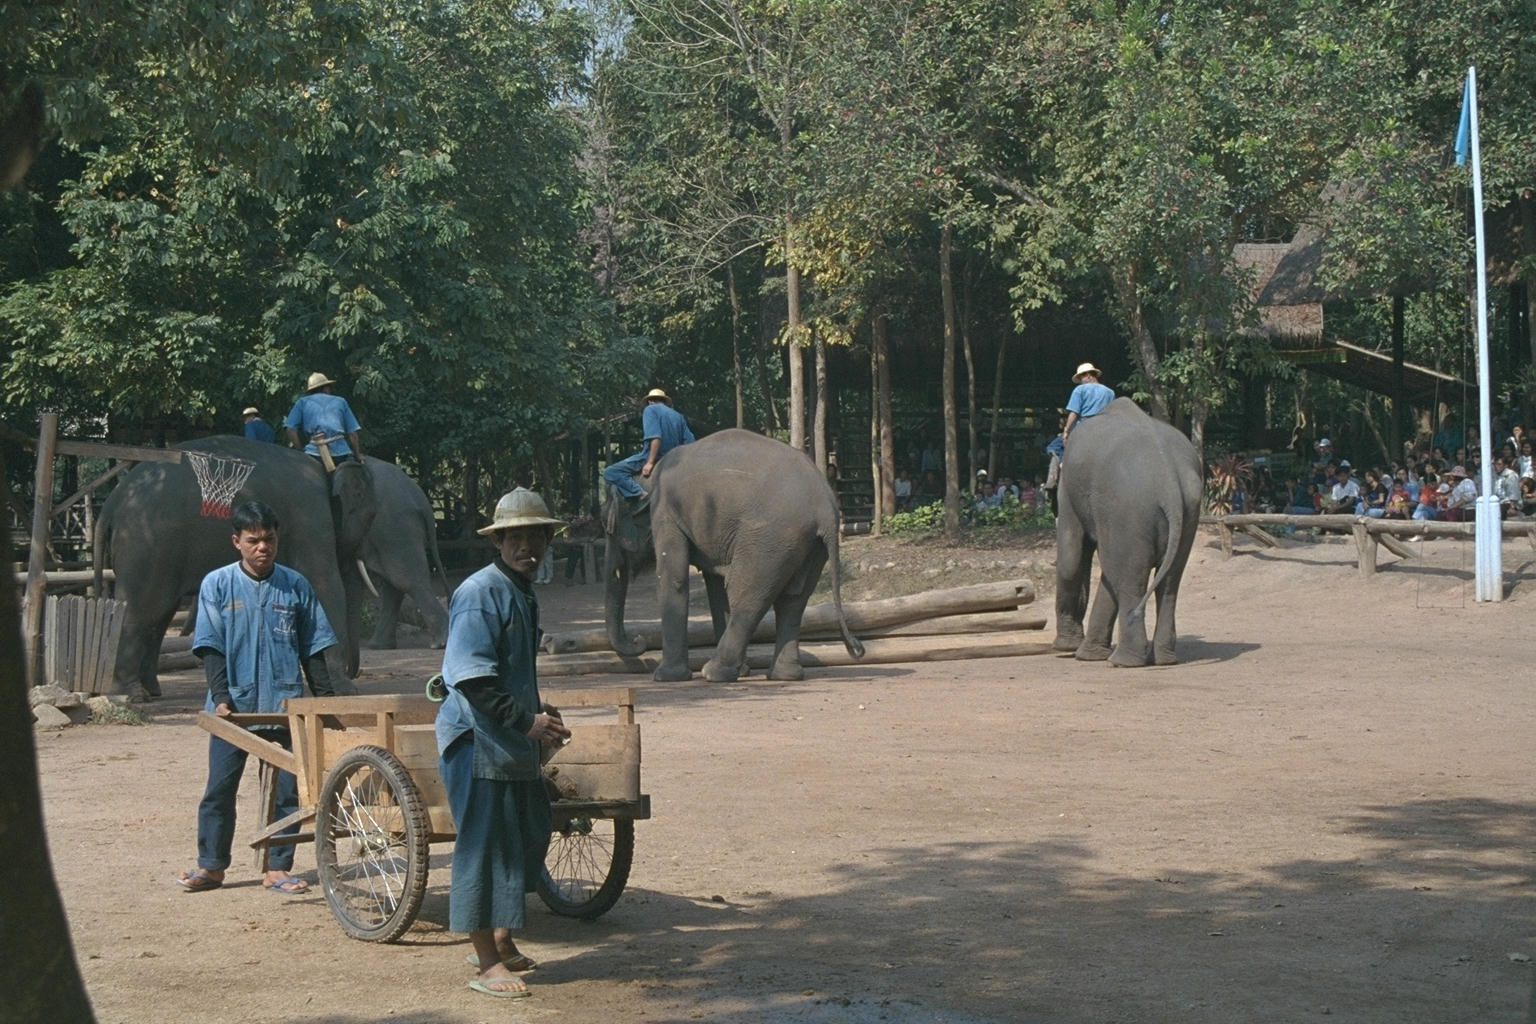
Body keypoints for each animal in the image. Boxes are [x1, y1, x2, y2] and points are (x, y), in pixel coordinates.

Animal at [95, 432, 374, 696]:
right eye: (368, 515)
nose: (356, 673)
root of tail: (111, 502)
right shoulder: (310, 518)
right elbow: (325, 587)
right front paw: (345, 692)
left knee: (160, 613)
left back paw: (151, 690)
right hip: (145, 543)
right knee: (142, 607)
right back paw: (130, 693)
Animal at [599, 429, 866, 684]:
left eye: (609, 528)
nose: (638, 640)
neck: (646, 477)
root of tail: (826, 506)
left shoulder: (665, 513)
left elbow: (675, 579)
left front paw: (665, 677)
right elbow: (716, 588)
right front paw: (744, 671)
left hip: (769, 538)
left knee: (746, 594)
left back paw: (714, 673)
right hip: (809, 545)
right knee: (793, 599)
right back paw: (783, 675)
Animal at [1050, 396, 1204, 669]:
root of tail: (1169, 484)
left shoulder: (1069, 490)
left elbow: (1071, 559)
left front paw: (1068, 649)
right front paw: (1085, 654)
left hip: (1128, 509)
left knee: (1130, 579)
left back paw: (1124, 661)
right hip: (1187, 513)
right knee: (1167, 581)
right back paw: (1163, 659)